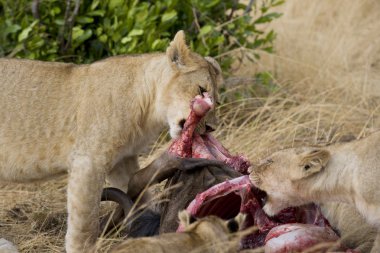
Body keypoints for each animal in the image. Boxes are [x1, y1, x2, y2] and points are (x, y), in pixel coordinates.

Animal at [0, 30, 223, 252]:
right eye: (201, 90)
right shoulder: (89, 161)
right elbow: (85, 220)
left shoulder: (123, 160)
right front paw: (84, 248)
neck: (147, 106)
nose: (211, 127)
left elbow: (140, 191)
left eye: (216, 100)